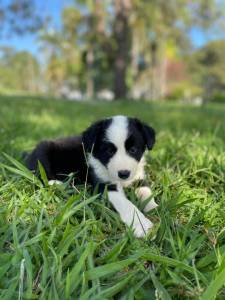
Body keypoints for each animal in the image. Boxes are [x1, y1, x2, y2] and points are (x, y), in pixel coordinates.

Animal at [26, 116, 156, 238]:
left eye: (133, 150)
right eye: (109, 151)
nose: (124, 174)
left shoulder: (138, 177)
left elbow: (146, 190)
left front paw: (153, 207)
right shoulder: (105, 185)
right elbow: (126, 204)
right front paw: (141, 224)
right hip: (42, 151)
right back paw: (57, 184)